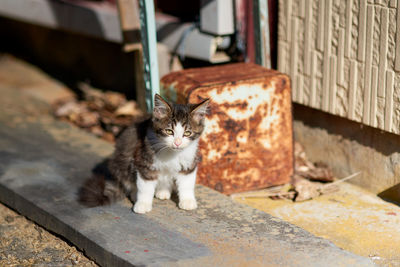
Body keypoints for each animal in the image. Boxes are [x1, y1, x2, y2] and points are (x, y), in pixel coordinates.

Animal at [78, 93, 209, 215]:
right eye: (169, 131)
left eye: (187, 133)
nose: (177, 143)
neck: (171, 153)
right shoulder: (144, 160)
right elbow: (145, 186)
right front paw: (143, 204)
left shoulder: (190, 160)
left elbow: (187, 182)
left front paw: (187, 201)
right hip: (122, 163)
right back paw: (136, 195)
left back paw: (163, 191)